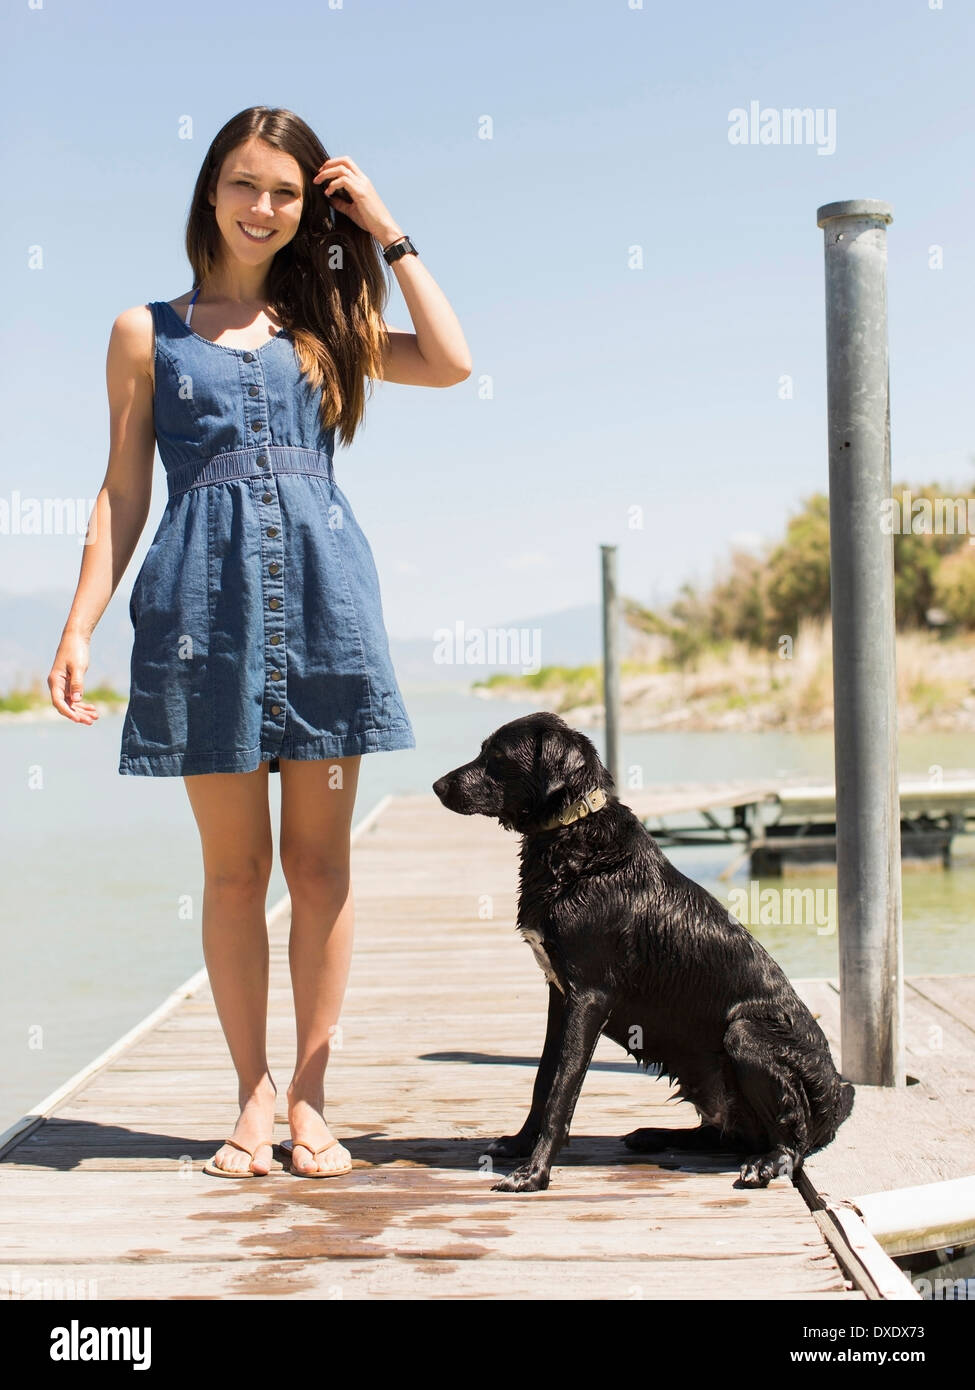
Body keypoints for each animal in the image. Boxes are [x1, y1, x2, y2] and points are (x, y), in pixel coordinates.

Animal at [428, 717, 845, 1195]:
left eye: (496, 757)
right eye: (482, 751)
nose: (437, 786)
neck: (573, 839)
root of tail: (838, 1099)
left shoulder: (589, 996)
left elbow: (562, 1089)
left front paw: (533, 1173)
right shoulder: (559, 995)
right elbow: (543, 1078)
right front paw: (518, 1145)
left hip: (745, 1034)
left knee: (793, 1139)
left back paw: (766, 1163)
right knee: (725, 1134)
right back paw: (654, 1134)